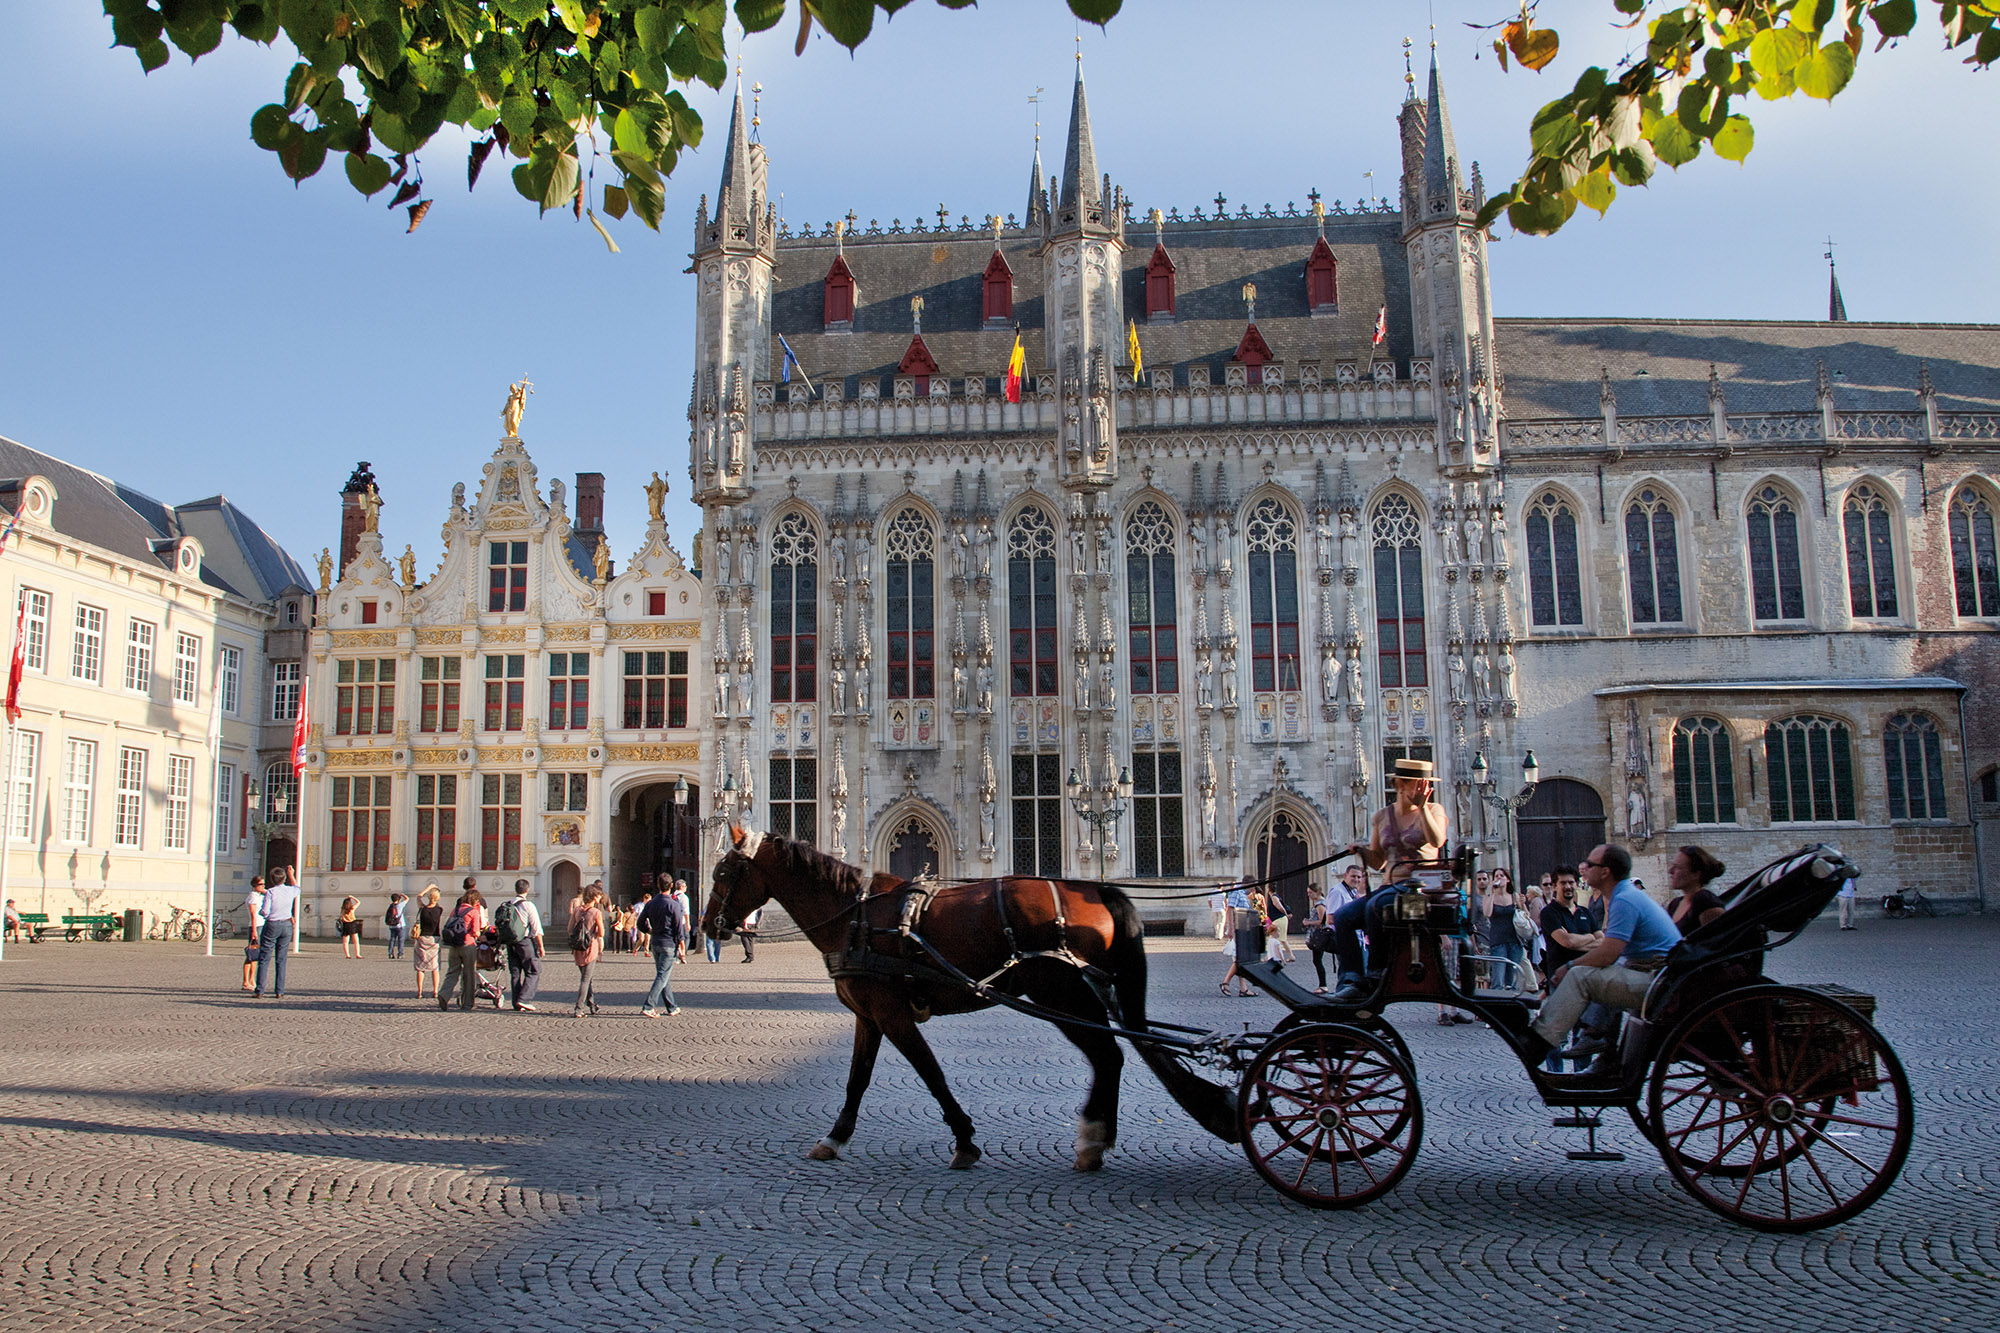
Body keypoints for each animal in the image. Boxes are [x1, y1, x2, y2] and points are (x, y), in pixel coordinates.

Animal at [704, 824, 1232, 1168]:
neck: (855, 915)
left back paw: (1091, 1139)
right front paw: (835, 1138)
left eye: (725, 872)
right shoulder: (868, 1016)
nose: (710, 927)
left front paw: (964, 1140)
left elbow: (931, 1073)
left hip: (1063, 995)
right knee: (1113, 1056)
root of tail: (1098, 889)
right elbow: (858, 1080)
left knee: (1108, 1055)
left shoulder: (892, 1015)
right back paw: (1097, 1141)